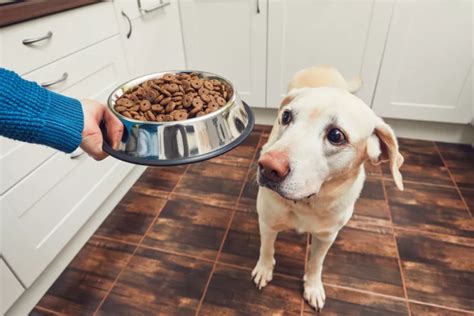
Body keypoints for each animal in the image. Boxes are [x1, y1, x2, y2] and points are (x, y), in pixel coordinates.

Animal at [252, 66, 404, 312]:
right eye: (286, 116)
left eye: (336, 135)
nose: (267, 167)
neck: (307, 202)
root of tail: (322, 66)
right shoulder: (267, 222)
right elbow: (267, 249)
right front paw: (264, 269)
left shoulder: (327, 237)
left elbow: (316, 263)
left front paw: (313, 287)